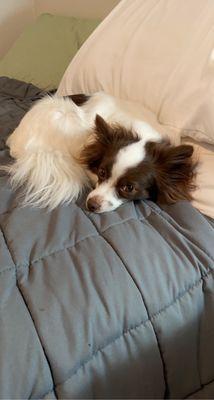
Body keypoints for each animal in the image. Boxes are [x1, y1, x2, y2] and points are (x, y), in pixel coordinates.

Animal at [5, 92, 196, 212]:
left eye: (129, 188)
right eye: (102, 172)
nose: (91, 205)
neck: (142, 135)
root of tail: (14, 141)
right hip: (67, 117)